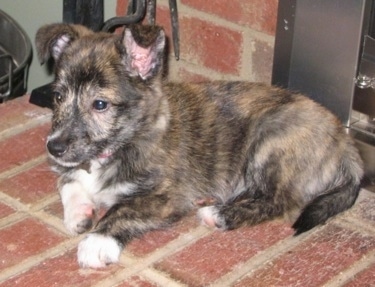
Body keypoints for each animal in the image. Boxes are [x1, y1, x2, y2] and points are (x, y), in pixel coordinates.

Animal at [35, 23, 364, 268]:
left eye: (100, 104)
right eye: (58, 97)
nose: (54, 148)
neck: (125, 141)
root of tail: (345, 140)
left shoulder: (167, 196)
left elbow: (122, 209)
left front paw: (96, 242)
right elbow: (68, 180)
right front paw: (79, 212)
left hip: (271, 136)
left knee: (277, 201)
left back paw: (217, 214)